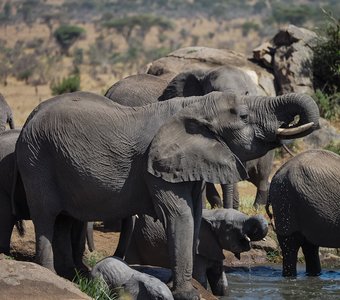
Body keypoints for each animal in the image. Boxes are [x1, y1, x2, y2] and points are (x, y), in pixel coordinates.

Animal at [122, 207, 268, 296]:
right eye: (229, 226)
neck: (212, 214)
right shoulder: (196, 249)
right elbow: (200, 279)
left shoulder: (213, 247)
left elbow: (220, 282)